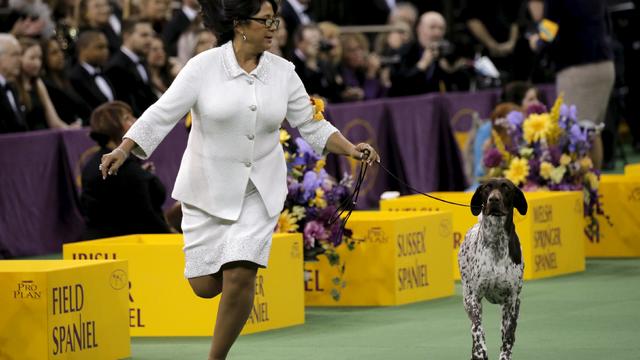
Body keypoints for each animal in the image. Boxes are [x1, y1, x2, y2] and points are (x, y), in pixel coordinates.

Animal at [458, 178, 528, 360]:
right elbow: (477, 330)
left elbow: (508, 335)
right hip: (467, 296)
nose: (493, 200)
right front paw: (480, 351)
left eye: (506, 188)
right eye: (486, 188)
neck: (496, 242)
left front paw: (505, 354)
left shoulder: (512, 301)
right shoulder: (474, 298)